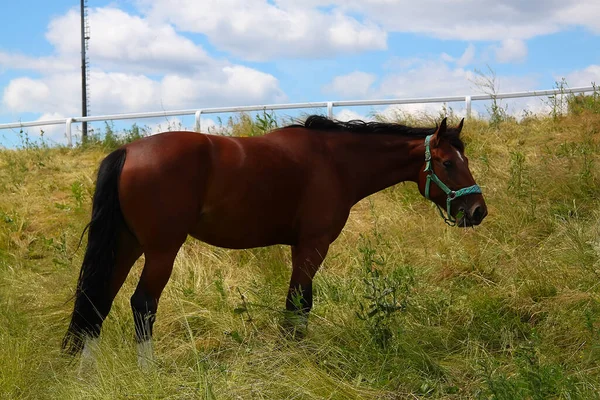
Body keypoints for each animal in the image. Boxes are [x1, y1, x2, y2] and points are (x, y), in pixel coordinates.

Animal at [63, 115, 488, 366]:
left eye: (464, 160)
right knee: (142, 304)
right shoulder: (313, 244)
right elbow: (298, 302)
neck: (334, 161)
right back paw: (147, 370)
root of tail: (127, 151)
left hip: (127, 246)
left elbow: (299, 302)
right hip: (160, 251)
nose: (478, 211)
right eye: (448, 163)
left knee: (97, 301)